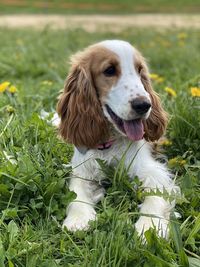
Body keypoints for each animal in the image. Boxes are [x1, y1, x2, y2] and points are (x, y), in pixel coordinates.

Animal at [56, 40, 180, 240]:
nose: (144, 105)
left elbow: (155, 197)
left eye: (139, 70)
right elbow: (76, 193)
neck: (110, 142)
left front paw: (149, 227)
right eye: (109, 70)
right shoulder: (82, 168)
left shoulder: (152, 170)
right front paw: (78, 220)